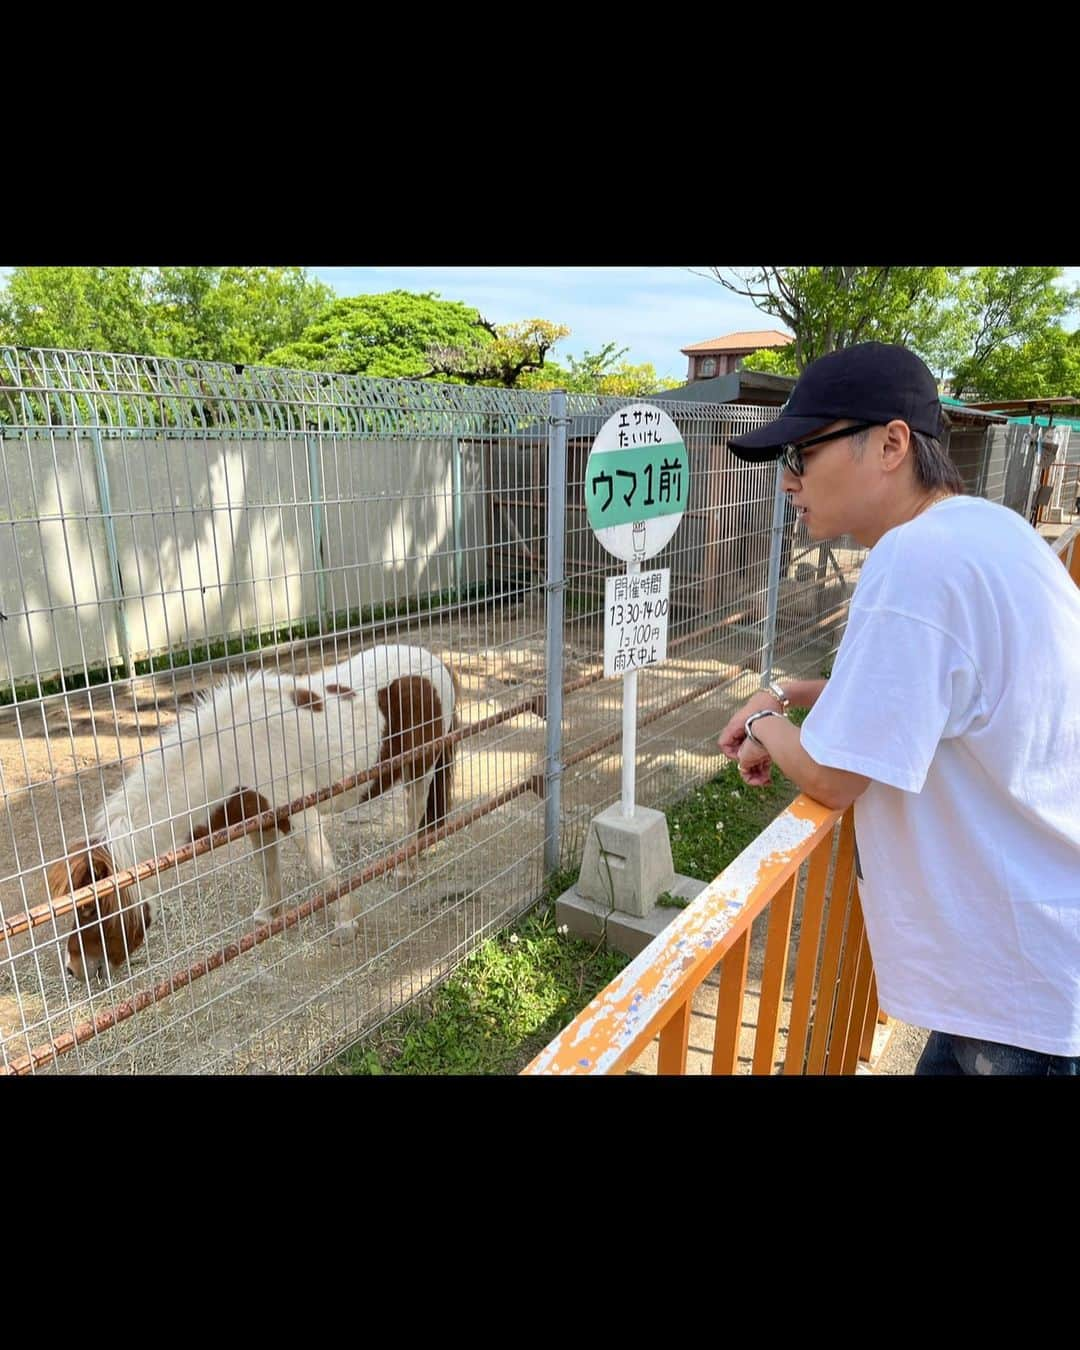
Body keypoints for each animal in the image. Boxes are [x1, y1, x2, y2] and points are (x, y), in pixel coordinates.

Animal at [51, 645, 456, 982]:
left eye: (89, 911)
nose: (73, 969)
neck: (234, 753)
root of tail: (435, 663)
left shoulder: (302, 816)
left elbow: (323, 868)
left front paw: (344, 926)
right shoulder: (258, 820)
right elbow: (266, 866)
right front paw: (267, 915)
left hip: (419, 768)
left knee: (413, 814)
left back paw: (404, 870)